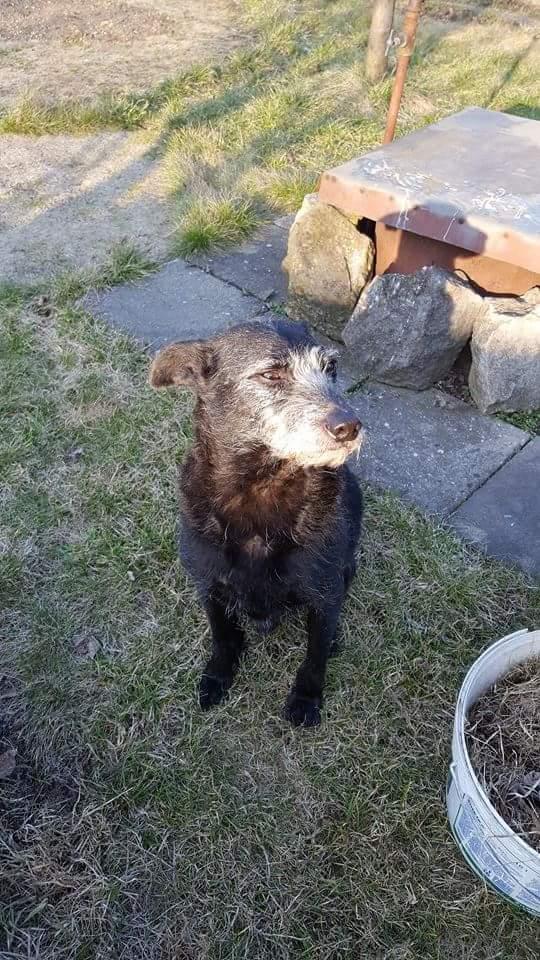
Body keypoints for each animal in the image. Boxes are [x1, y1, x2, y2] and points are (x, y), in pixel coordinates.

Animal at [150, 317, 363, 726]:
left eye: (330, 367)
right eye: (270, 374)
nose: (349, 426)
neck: (260, 490)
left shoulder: (324, 592)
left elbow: (315, 655)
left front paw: (306, 698)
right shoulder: (208, 584)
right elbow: (223, 635)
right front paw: (218, 675)